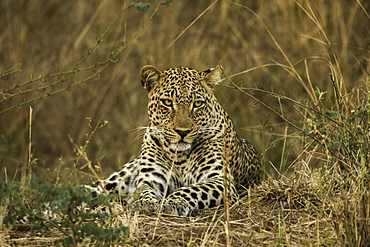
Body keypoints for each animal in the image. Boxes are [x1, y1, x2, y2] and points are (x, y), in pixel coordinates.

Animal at [88, 64, 260, 215]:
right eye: (167, 102)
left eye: (197, 104)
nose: (182, 132)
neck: (179, 156)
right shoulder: (151, 178)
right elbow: (144, 191)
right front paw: (144, 203)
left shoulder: (220, 180)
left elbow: (193, 190)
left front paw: (173, 202)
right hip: (117, 179)